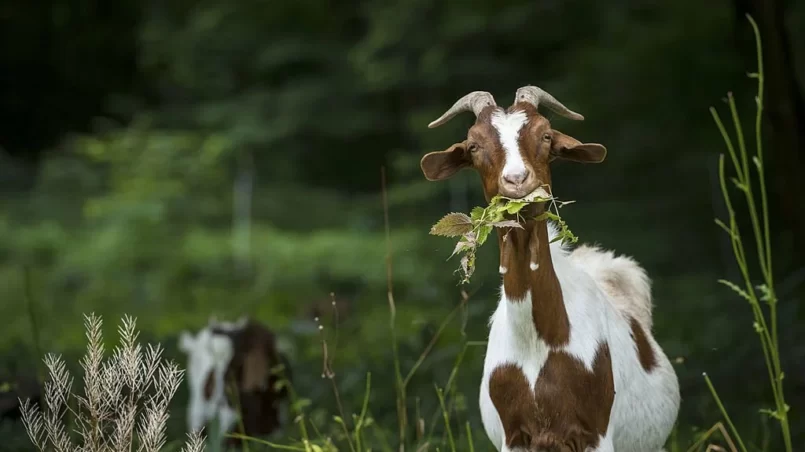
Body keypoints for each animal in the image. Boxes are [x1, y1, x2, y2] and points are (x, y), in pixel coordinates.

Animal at [420, 86, 680, 450]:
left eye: (545, 135)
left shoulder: (595, 432)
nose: (517, 180)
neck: (539, 341)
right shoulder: (513, 435)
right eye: (473, 145)